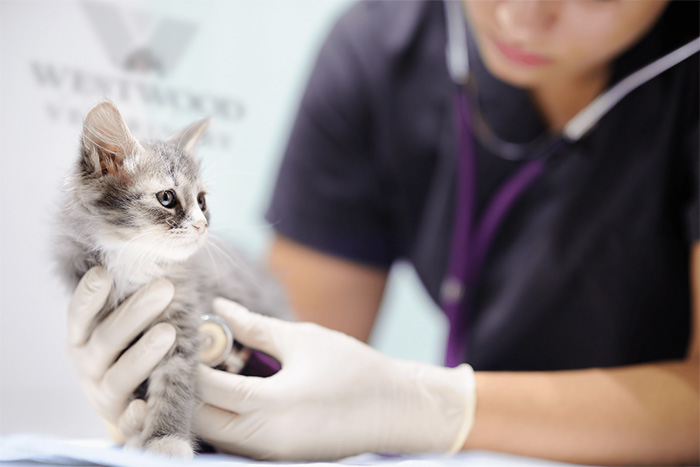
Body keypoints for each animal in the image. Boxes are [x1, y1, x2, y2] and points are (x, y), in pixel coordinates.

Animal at [54, 101, 290, 458]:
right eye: (167, 198)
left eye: (202, 201)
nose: (202, 225)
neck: (135, 261)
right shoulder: (106, 319)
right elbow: (135, 384)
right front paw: (138, 432)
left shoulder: (184, 317)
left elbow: (173, 386)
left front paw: (165, 440)